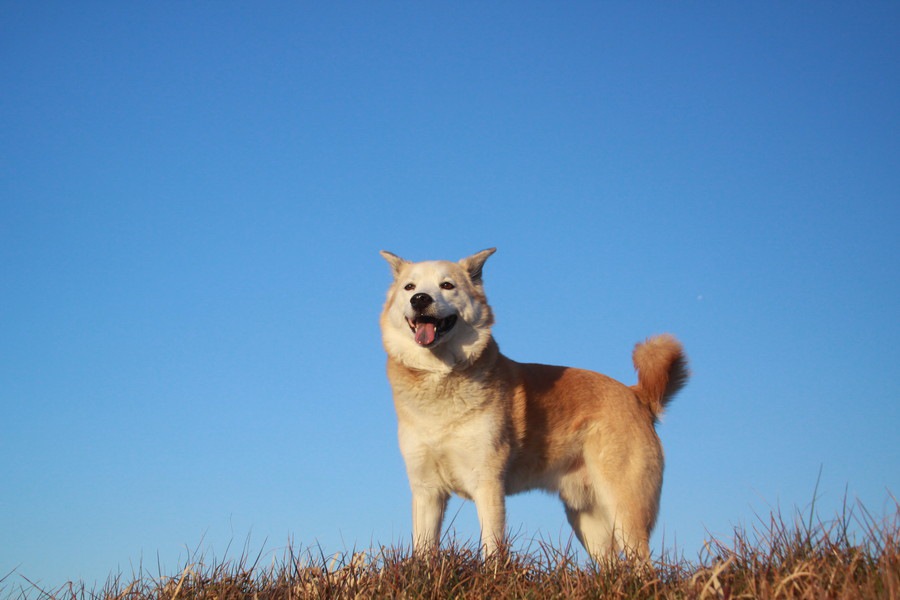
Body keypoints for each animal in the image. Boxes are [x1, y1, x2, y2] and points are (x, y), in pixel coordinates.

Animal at [380, 248, 688, 564]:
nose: (420, 299)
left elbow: (492, 546)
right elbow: (423, 548)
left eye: (446, 285)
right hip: (588, 521)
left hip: (624, 509)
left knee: (643, 564)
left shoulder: (488, 483)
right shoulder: (426, 490)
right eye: (410, 287)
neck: (440, 379)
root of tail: (635, 394)